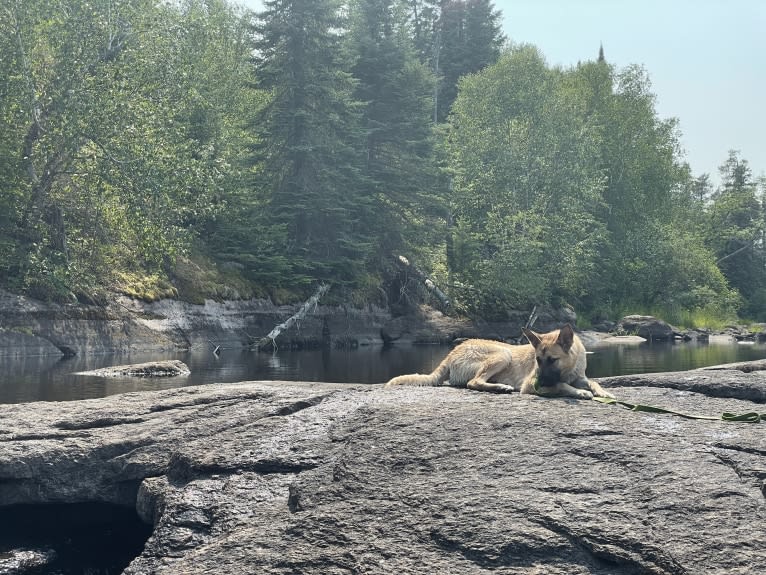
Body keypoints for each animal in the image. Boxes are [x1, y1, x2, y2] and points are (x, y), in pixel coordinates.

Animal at [388, 324, 616, 400]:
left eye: (552, 360)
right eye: (538, 360)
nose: (540, 384)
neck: (569, 367)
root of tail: (453, 352)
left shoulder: (579, 376)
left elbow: (592, 382)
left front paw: (604, 392)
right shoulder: (530, 384)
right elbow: (561, 385)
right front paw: (580, 392)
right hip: (503, 353)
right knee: (473, 382)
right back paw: (499, 387)